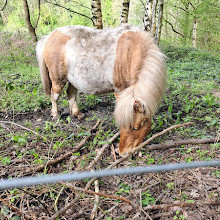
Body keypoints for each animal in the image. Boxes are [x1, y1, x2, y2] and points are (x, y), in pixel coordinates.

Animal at [36, 25, 167, 156]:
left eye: (135, 128)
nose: (121, 152)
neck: (131, 52)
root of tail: (49, 36)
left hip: (73, 80)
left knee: (71, 93)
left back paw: (77, 114)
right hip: (57, 79)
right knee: (54, 96)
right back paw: (55, 115)